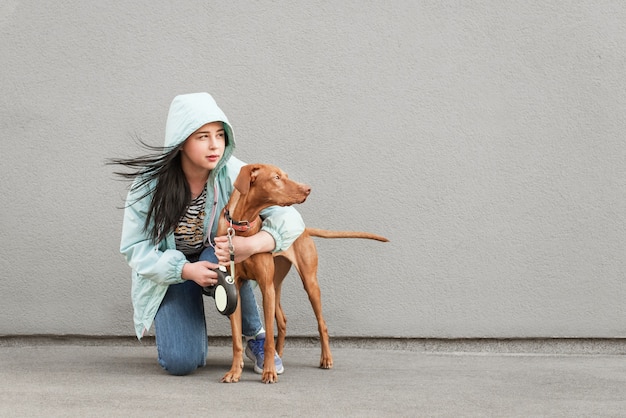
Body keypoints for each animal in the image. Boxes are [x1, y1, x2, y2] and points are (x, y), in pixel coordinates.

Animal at [218, 162, 386, 382]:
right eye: (276, 177)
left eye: (285, 175)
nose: (308, 189)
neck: (242, 226)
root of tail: (304, 230)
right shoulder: (234, 288)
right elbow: (237, 341)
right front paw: (234, 372)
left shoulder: (265, 286)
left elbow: (268, 339)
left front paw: (269, 371)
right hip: (275, 286)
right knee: (282, 321)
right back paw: (280, 355)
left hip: (307, 283)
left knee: (321, 323)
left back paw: (326, 359)